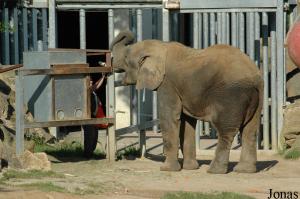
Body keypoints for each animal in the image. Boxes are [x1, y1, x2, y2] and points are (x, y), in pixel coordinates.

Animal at [110, 30, 262, 173]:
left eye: (126, 58)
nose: (129, 35)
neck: (161, 46)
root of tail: (254, 77)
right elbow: (187, 121)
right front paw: (190, 168)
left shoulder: (167, 84)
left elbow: (169, 117)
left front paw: (167, 169)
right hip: (258, 95)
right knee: (250, 130)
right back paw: (244, 170)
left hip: (230, 96)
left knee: (226, 131)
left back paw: (214, 171)